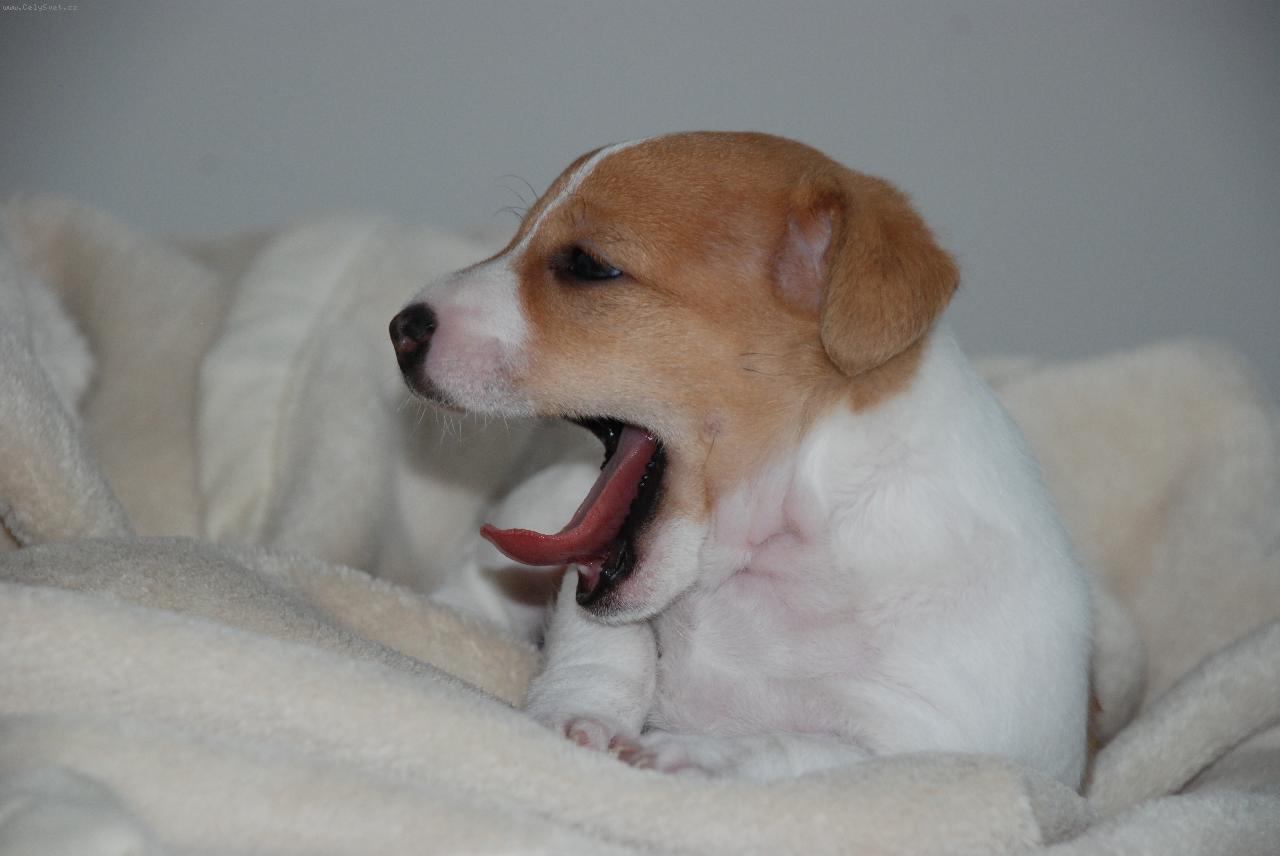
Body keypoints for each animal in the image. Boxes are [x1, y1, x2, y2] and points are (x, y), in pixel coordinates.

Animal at [390, 132, 1092, 785]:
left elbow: (793, 750)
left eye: (589, 265)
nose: (400, 328)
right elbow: (607, 650)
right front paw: (580, 716)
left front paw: (694, 753)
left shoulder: (930, 750)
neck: (769, 554)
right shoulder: (592, 597)